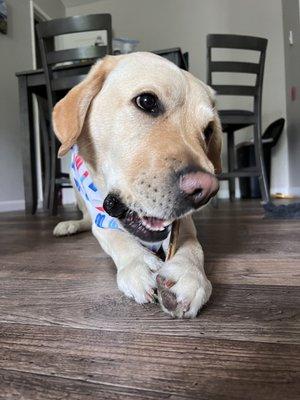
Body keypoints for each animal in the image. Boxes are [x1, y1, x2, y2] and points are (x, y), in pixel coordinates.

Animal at [52, 51, 220, 318]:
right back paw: (70, 225)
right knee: (86, 220)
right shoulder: (102, 218)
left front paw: (188, 274)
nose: (205, 190)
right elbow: (115, 236)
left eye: (208, 130)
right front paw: (139, 262)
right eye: (146, 101)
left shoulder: (183, 222)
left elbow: (193, 246)